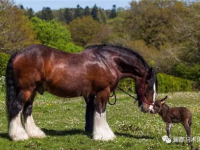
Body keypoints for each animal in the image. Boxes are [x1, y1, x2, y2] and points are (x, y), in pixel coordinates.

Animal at [5, 44, 159, 141]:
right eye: (149, 86)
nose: (149, 108)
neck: (109, 61)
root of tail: (18, 53)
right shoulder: (103, 91)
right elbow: (100, 111)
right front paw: (103, 135)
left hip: (33, 91)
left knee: (27, 109)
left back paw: (34, 133)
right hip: (26, 89)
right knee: (17, 108)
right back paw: (19, 136)